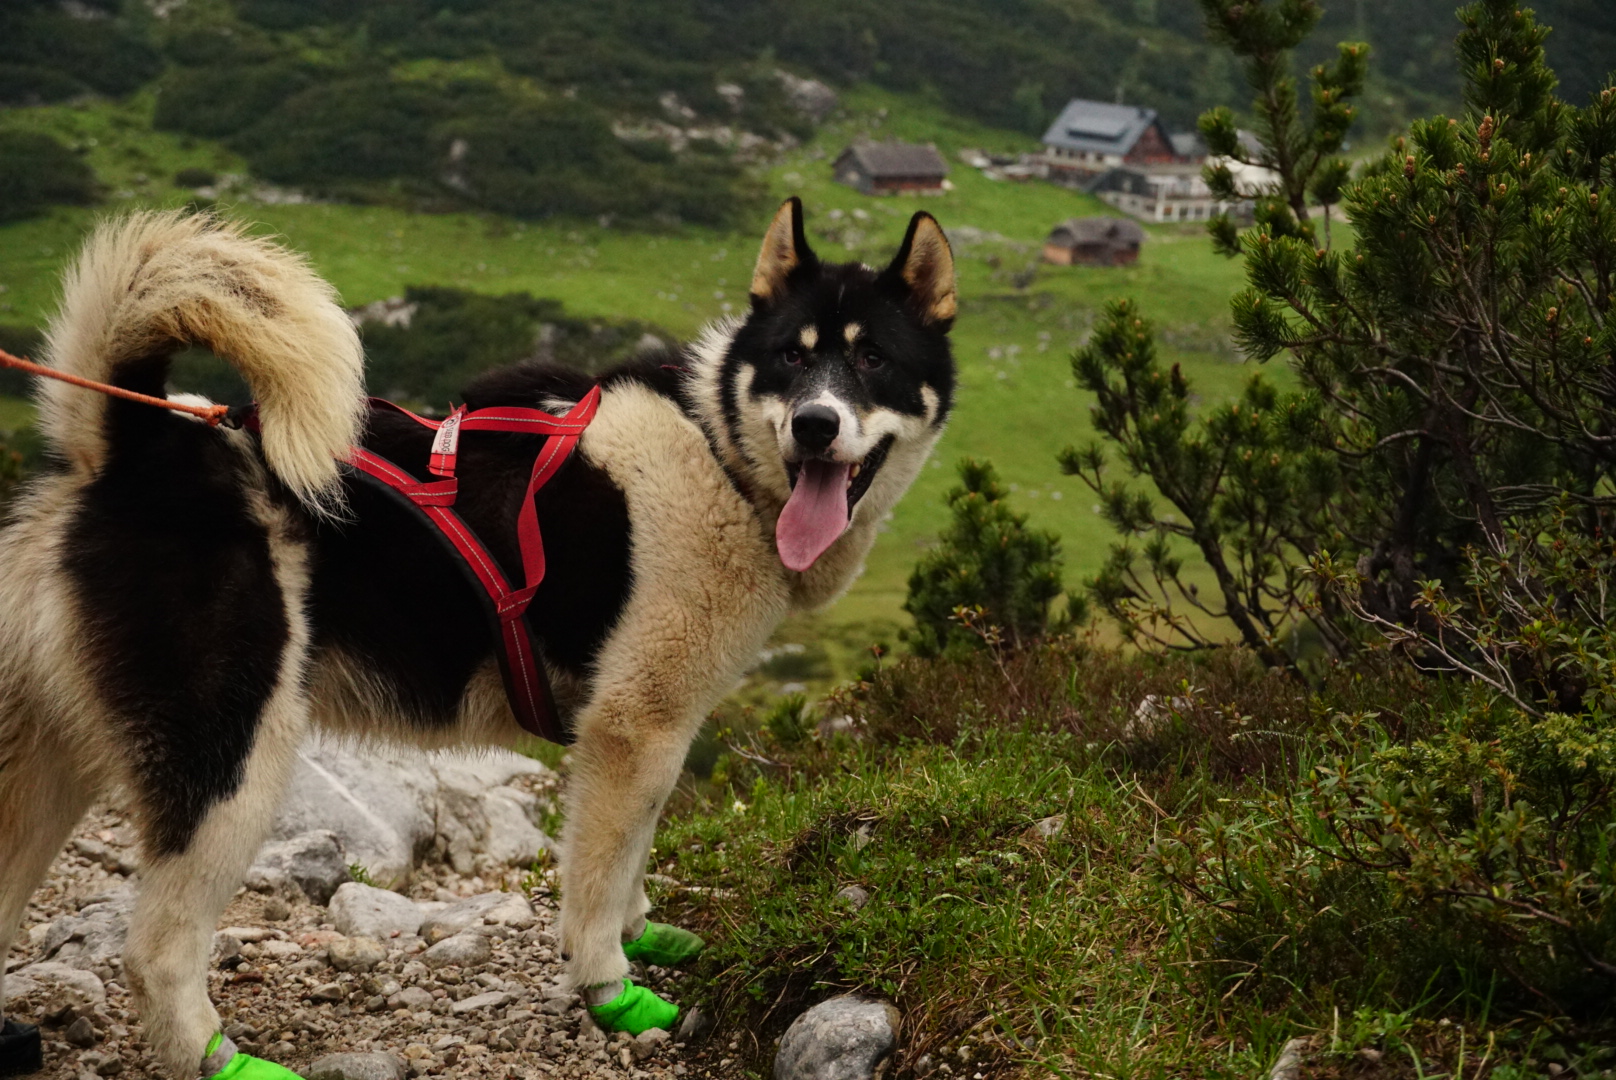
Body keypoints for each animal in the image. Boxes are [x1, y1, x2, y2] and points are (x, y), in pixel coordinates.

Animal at [0, 198, 956, 1073]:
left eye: (871, 358)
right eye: (793, 356)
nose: (816, 425)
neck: (720, 449)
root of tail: (130, 446)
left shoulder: (653, 735)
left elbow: (634, 851)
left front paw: (644, 933)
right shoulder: (635, 725)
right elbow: (600, 877)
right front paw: (611, 989)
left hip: (49, 760)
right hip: (230, 762)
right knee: (157, 951)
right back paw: (217, 1056)